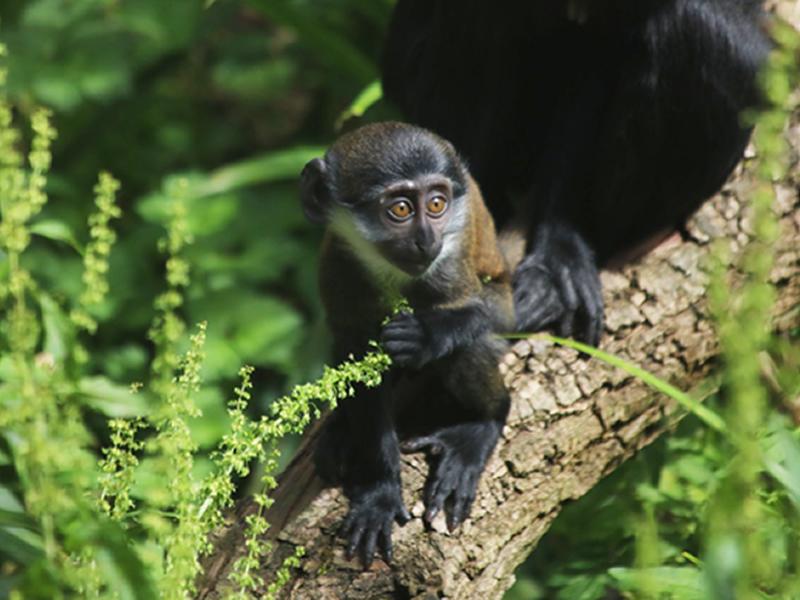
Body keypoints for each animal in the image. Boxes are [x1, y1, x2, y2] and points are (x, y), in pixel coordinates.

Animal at [300, 123, 512, 568]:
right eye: (399, 209)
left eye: (436, 204)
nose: (426, 239)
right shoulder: (337, 264)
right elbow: (355, 355)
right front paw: (380, 490)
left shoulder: (447, 263)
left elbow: (475, 314)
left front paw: (424, 336)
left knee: (467, 347)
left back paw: (485, 423)